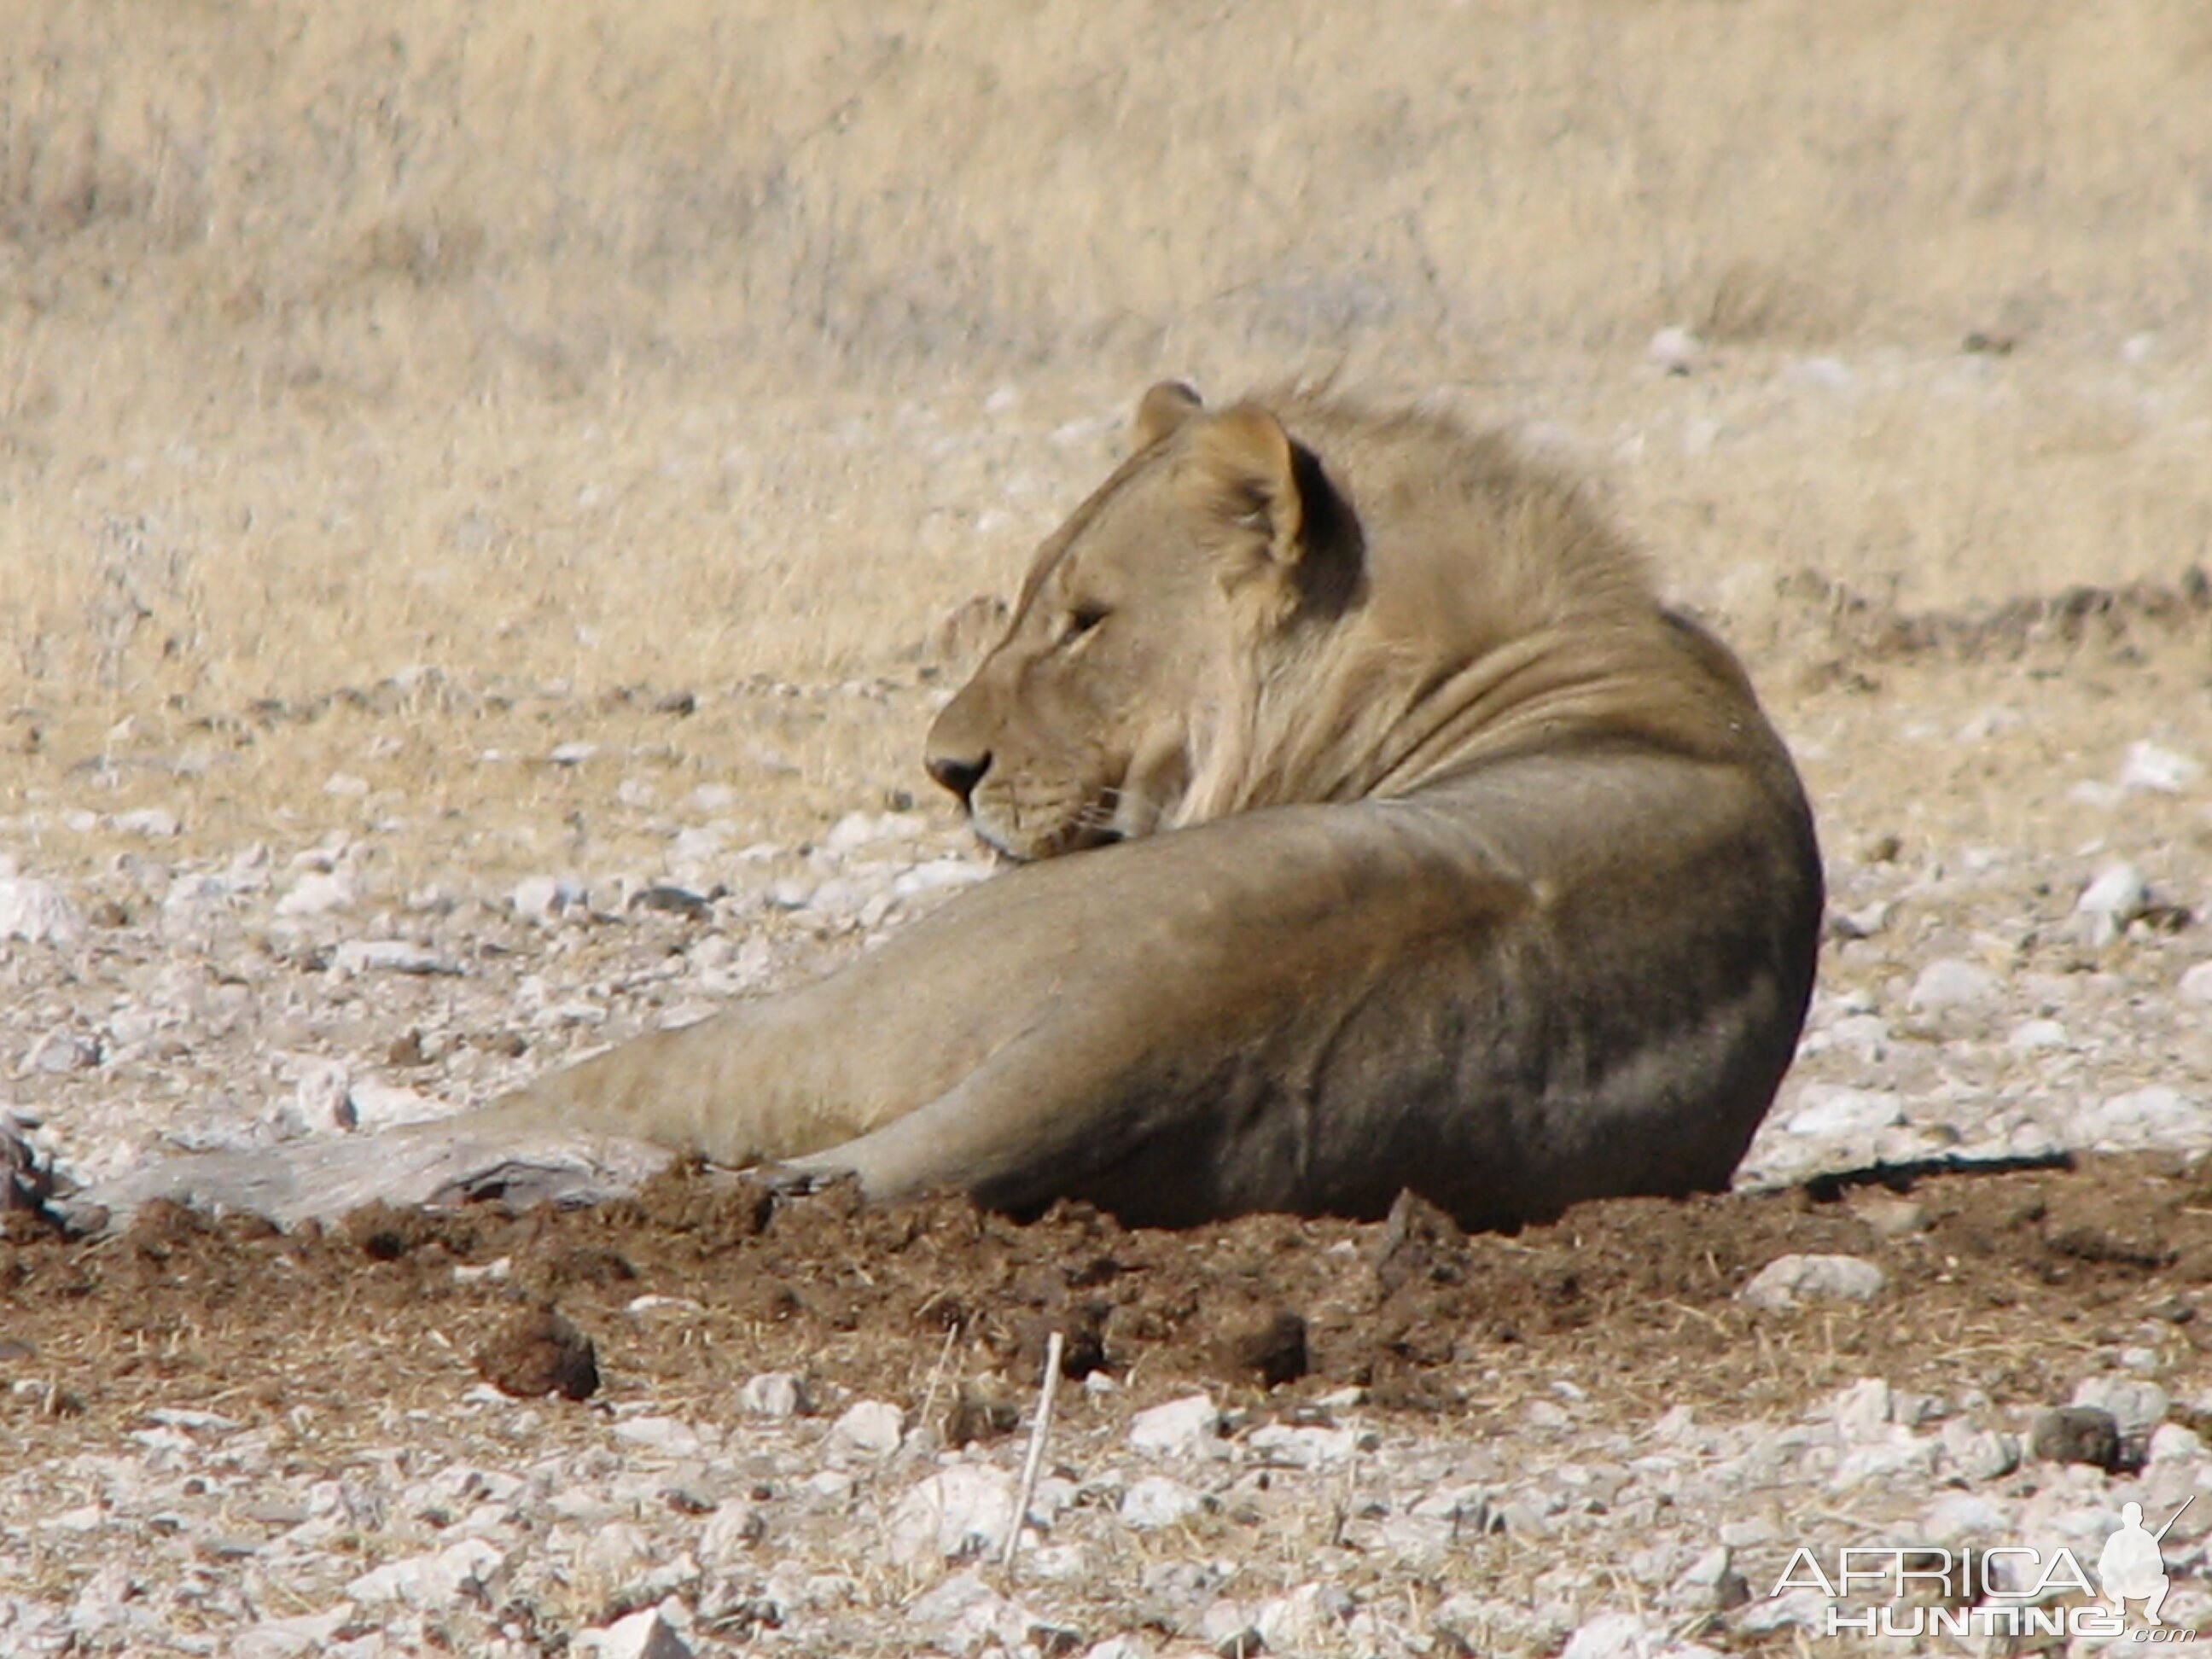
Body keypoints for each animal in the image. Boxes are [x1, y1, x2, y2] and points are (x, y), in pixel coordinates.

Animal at [47, 380, 1813, 1238]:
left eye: (1084, 620)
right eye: (1026, 600)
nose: (941, 766)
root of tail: (1142, 1021)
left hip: (842, 994)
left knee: (556, 1108)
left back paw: (137, 1181)